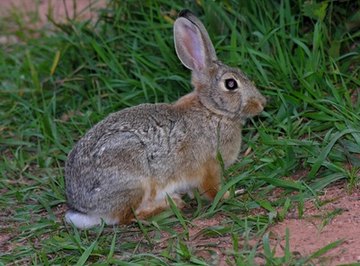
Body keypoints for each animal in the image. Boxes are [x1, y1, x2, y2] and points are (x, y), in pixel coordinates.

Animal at [64, 8, 266, 229]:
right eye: (231, 84)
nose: (262, 103)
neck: (212, 110)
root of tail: (85, 209)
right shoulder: (209, 166)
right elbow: (212, 190)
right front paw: (232, 194)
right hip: (135, 180)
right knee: (127, 217)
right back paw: (169, 205)